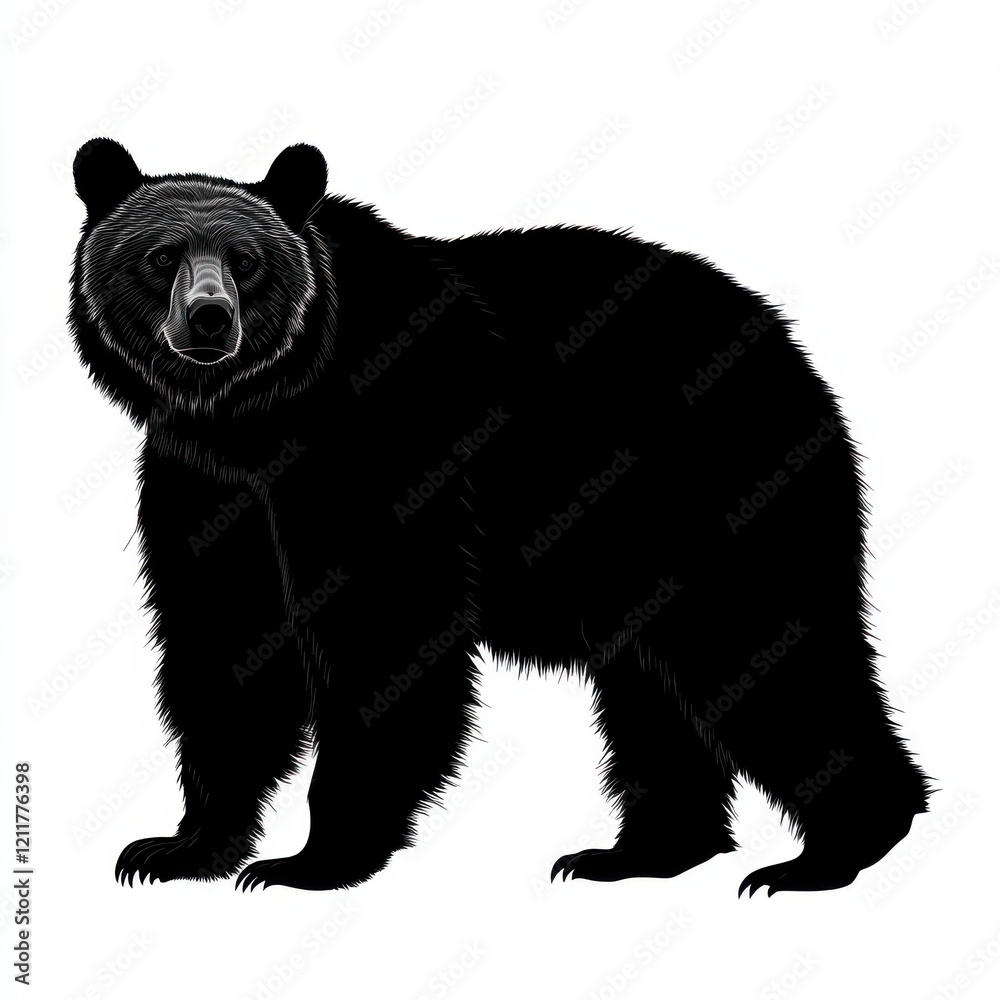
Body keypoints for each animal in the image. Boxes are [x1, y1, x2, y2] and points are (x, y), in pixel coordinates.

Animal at [69, 137, 931, 897]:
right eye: (161, 257)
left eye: (246, 262)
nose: (210, 320)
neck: (264, 418)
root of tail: (788, 345)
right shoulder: (205, 484)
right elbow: (224, 641)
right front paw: (179, 847)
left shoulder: (386, 441)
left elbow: (386, 627)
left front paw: (316, 857)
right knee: (653, 686)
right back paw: (640, 853)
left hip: (719, 483)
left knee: (771, 643)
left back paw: (830, 852)